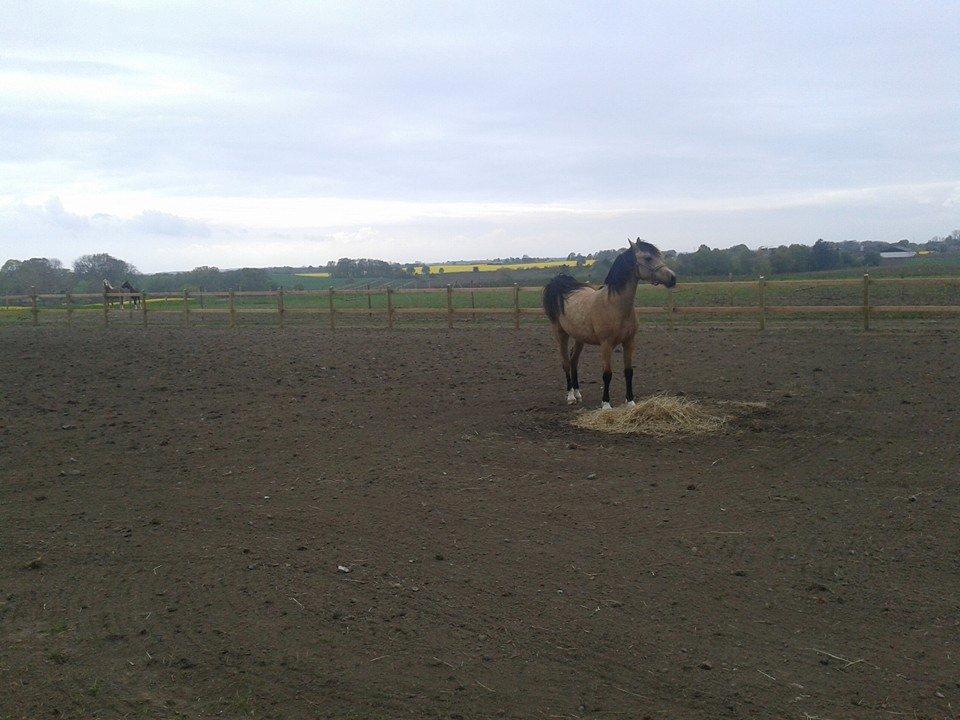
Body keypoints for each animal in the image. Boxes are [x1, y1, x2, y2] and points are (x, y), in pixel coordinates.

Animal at [544, 239, 680, 410]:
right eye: (648, 258)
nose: (672, 278)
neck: (614, 305)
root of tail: (562, 285)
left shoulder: (629, 342)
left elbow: (628, 372)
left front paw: (631, 401)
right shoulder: (606, 344)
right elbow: (607, 374)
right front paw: (606, 404)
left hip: (579, 337)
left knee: (574, 361)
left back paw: (578, 394)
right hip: (561, 334)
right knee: (566, 363)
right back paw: (570, 397)